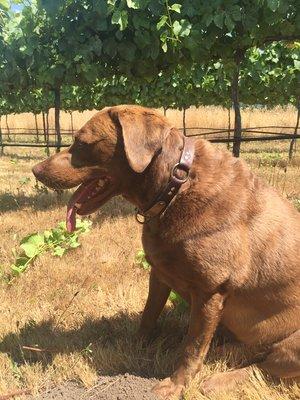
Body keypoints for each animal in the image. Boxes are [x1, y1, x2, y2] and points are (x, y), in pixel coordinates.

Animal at [31, 104, 298, 398]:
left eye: (82, 142)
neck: (174, 188)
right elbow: (148, 315)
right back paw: (224, 351)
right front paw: (134, 345)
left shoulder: (210, 291)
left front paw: (176, 384)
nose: (35, 169)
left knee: (265, 366)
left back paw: (219, 379)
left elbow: (192, 347)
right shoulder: (158, 272)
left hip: (293, 343)